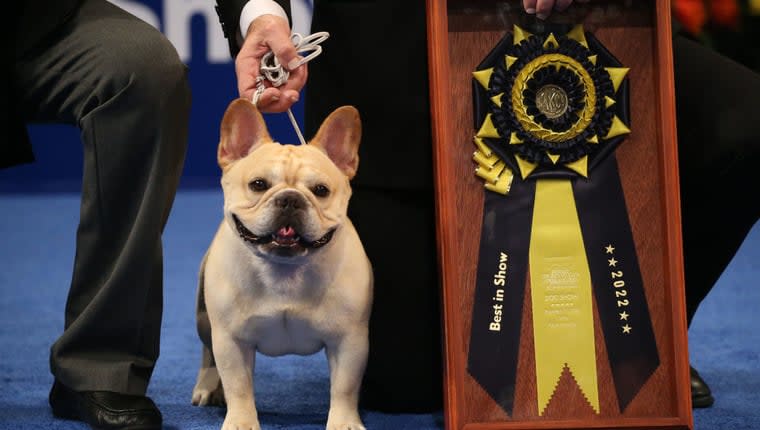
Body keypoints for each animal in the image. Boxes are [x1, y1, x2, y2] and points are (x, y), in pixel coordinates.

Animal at [191, 98, 372, 430]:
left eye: (321, 190)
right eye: (258, 184)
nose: (290, 199)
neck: (284, 271)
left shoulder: (349, 341)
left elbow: (344, 386)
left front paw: (344, 422)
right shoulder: (231, 340)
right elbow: (238, 385)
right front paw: (241, 422)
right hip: (204, 319)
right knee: (207, 352)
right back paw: (207, 386)